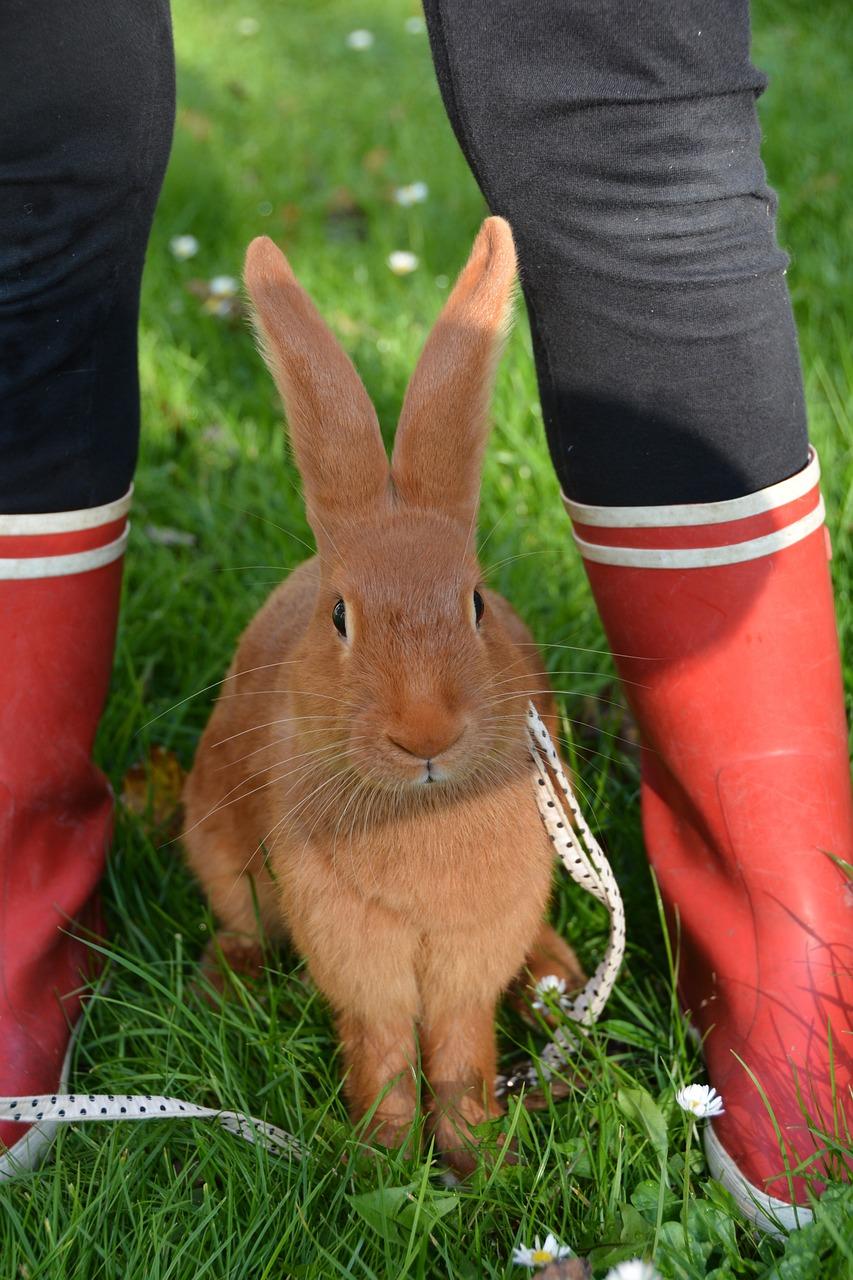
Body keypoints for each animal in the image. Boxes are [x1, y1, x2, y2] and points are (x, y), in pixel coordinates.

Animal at [181, 217, 581, 1172]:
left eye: (476, 603)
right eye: (339, 616)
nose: (424, 733)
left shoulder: (474, 940)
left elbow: (462, 1043)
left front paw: (473, 1158)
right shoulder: (353, 944)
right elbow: (385, 1045)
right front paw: (387, 1157)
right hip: (219, 845)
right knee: (241, 922)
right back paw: (221, 986)